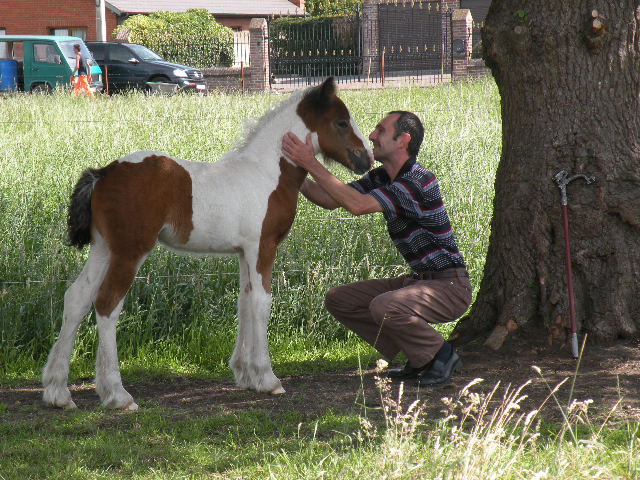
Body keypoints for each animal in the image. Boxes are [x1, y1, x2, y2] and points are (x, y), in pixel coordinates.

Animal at [42, 78, 372, 408]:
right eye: (341, 122)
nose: (365, 160)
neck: (267, 173)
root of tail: (102, 174)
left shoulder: (244, 252)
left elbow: (244, 301)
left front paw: (245, 374)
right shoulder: (262, 247)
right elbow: (261, 302)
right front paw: (267, 378)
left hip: (103, 249)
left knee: (76, 298)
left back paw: (58, 392)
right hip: (130, 251)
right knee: (107, 304)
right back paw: (118, 394)